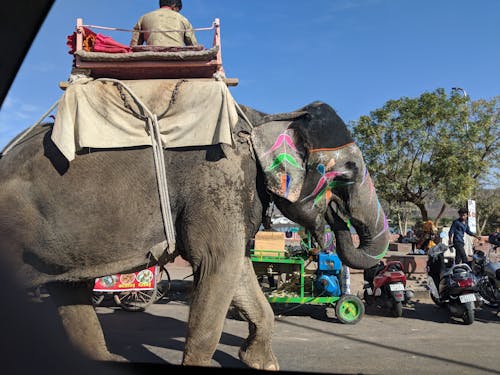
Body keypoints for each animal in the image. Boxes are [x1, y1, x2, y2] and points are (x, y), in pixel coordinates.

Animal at [0, 101, 388, 372]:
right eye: (349, 170)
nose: (336, 219)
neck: (263, 118)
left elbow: (240, 272)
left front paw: (262, 363)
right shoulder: (218, 180)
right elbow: (218, 265)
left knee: (70, 290)